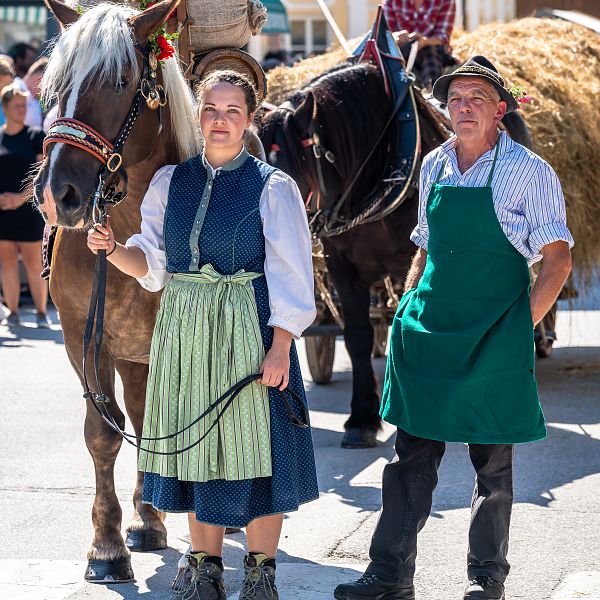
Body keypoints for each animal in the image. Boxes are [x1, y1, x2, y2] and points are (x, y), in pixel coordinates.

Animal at [32, 0, 200, 580]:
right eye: (54, 83)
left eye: (121, 80)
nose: (58, 192)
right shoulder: (83, 336)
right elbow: (103, 433)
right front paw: (106, 544)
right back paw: (146, 516)